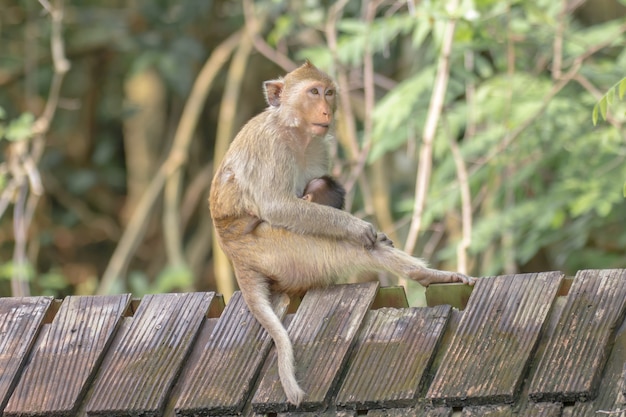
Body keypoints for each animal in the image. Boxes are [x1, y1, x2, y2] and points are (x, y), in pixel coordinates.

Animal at [210, 60, 472, 404]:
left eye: (329, 92)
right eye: (313, 92)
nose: (326, 109)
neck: (294, 131)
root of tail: (234, 254)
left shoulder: (320, 147)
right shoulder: (271, 146)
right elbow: (277, 206)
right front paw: (356, 227)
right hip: (275, 249)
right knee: (351, 248)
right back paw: (426, 274)